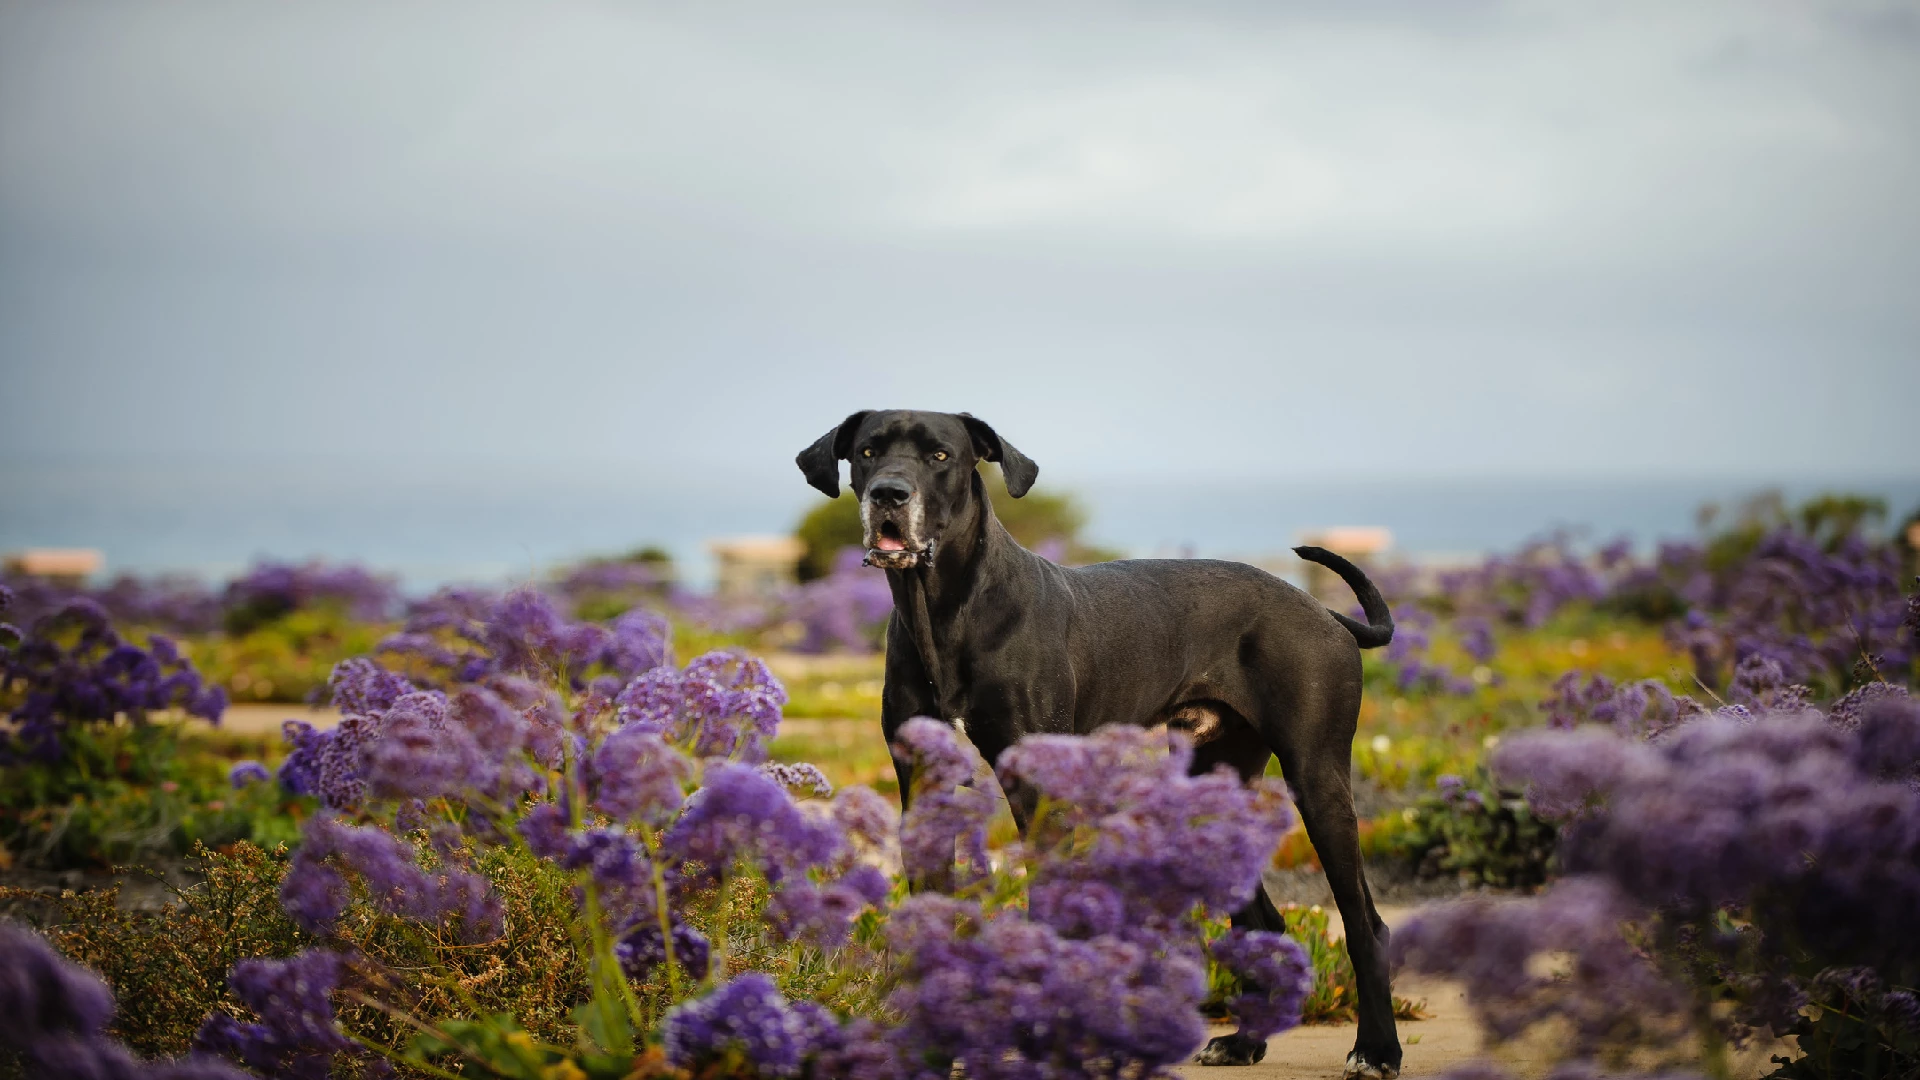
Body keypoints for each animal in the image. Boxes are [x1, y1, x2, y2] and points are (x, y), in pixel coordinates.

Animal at [787, 407, 1405, 1068]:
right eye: (868, 452)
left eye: (940, 456)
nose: (888, 495)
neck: (948, 613)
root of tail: (1324, 611)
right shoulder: (923, 785)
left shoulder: (1038, 789)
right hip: (1212, 783)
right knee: (1263, 919)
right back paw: (1244, 1043)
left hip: (1317, 779)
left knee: (1365, 923)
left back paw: (1377, 1050)